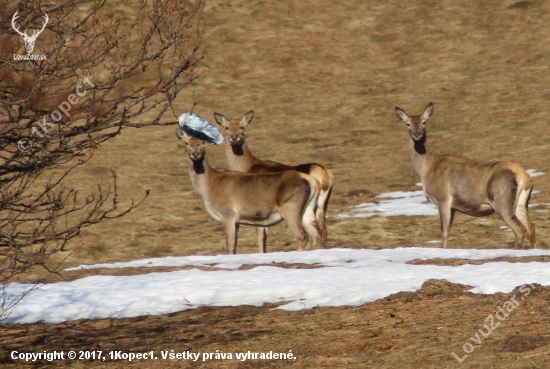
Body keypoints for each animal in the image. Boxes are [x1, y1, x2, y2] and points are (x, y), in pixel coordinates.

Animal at [176, 125, 324, 252]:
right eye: (187, 143)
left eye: (202, 143)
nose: (195, 154)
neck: (207, 189)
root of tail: (312, 181)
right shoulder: (236, 221)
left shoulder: (228, 213)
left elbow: (230, 244)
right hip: (308, 209)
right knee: (317, 233)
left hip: (290, 207)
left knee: (302, 235)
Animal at [215, 110, 336, 250]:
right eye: (226, 127)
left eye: (242, 127)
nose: (234, 137)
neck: (248, 165)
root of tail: (325, 175)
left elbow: (261, 236)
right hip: (321, 206)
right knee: (322, 231)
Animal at [396, 102, 540, 249]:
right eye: (408, 124)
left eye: (424, 122)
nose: (417, 134)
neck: (426, 169)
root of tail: (523, 175)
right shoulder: (452, 206)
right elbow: (448, 230)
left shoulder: (443, 199)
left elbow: (444, 231)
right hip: (521, 203)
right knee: (531, 227)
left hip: (502, 200)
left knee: (519, 228)